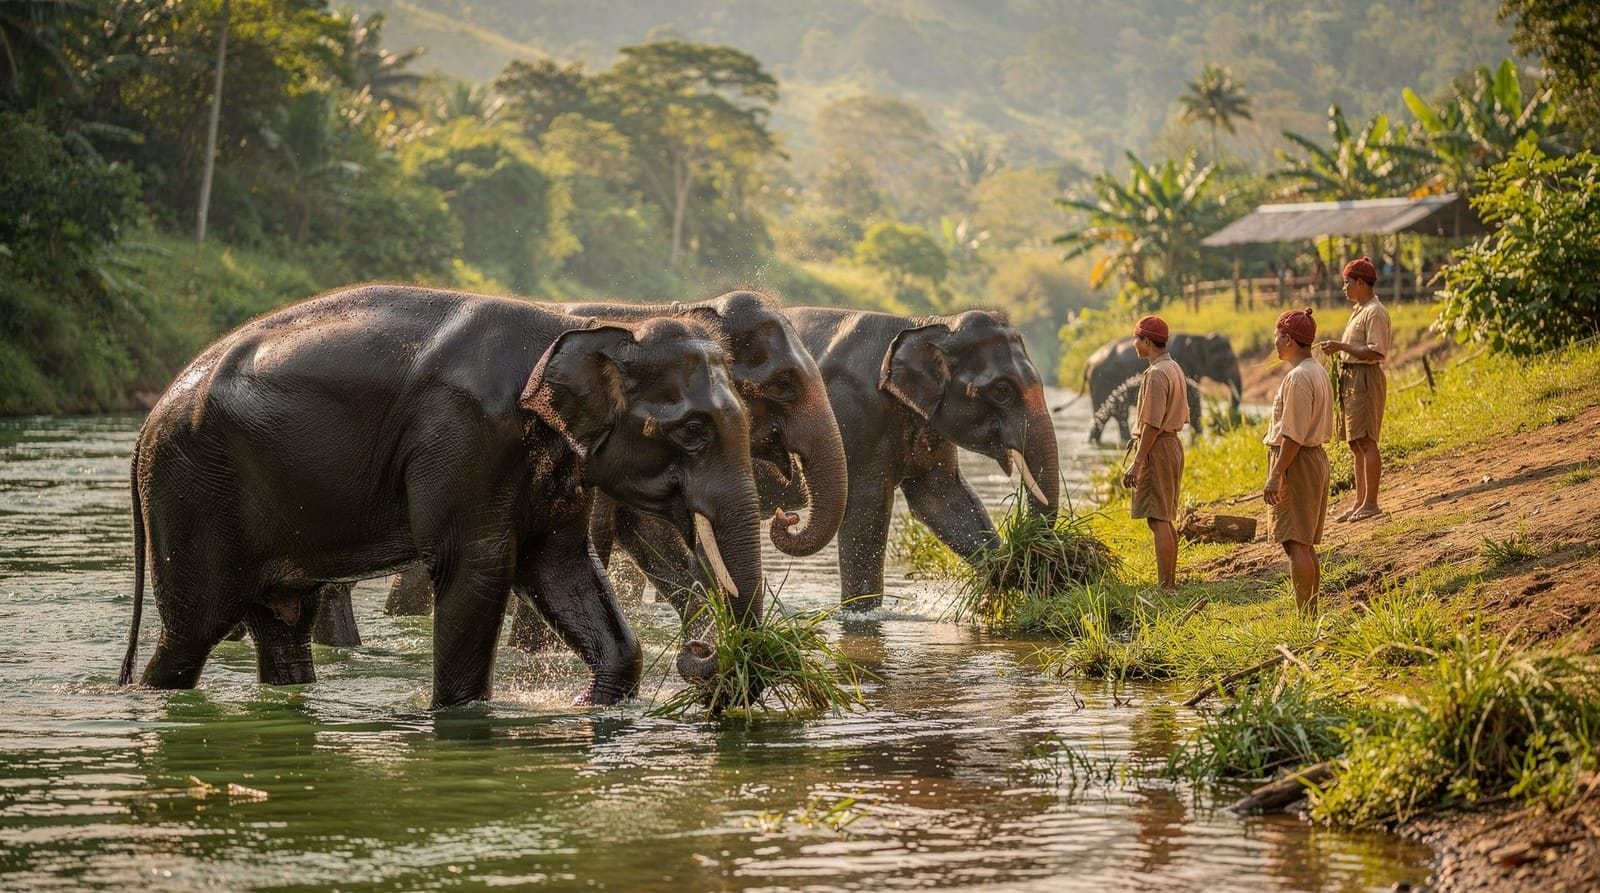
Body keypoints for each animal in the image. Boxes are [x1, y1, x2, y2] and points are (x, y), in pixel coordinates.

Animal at [116, 284, 766, 708]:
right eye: (693, 431)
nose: (706, 653)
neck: (563, 327)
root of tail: (147, 423)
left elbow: (560, 565)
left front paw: (593, 705)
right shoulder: (461, 437)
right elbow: (477, 567)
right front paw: (458, 716)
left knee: (282, 622)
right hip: (191, 494)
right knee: (193, 629)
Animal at [762, 307, 1061, 610]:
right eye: (1002, 391)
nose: (1028, 552)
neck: (928, 325)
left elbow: (943, 501)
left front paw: (1005, 572)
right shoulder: (855, 416)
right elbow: (867, 507)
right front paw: (861, 612)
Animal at [1082, 333, 1242, 445]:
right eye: (1225, 361)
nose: (1230, 415)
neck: (1198, 337)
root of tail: (1088, 363)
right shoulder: (1185, 365)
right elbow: (1192, 397)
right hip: (1100, 383)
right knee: (1113, 414)